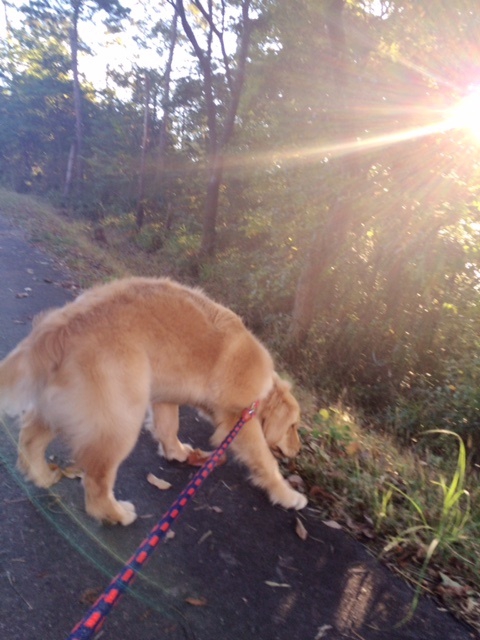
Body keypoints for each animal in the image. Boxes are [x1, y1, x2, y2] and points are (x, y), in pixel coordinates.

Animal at [0, 276, 308, 524]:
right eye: (294, 427)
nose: (298, 450)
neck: (265, 390)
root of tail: (61, 326)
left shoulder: (164, 397)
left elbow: (168, 427)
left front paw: (176, 451)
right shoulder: (240, 420)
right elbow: (266, 462)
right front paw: (288, 495)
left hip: (61, 406)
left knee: (30, 438)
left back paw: (41, 475)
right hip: (120, 422)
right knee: (96, 482)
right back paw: (115, 514)